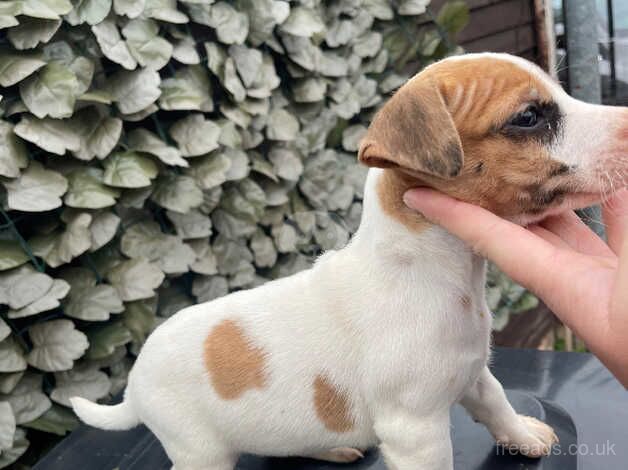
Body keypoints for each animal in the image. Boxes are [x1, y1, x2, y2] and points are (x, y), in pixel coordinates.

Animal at [70, 53, 628, 468]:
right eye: (529, 117)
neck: (427, 268)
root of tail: (134, 386)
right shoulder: (415, 431)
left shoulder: (472, 374)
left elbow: (497, 406)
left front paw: (523, 436)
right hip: (200, 451)